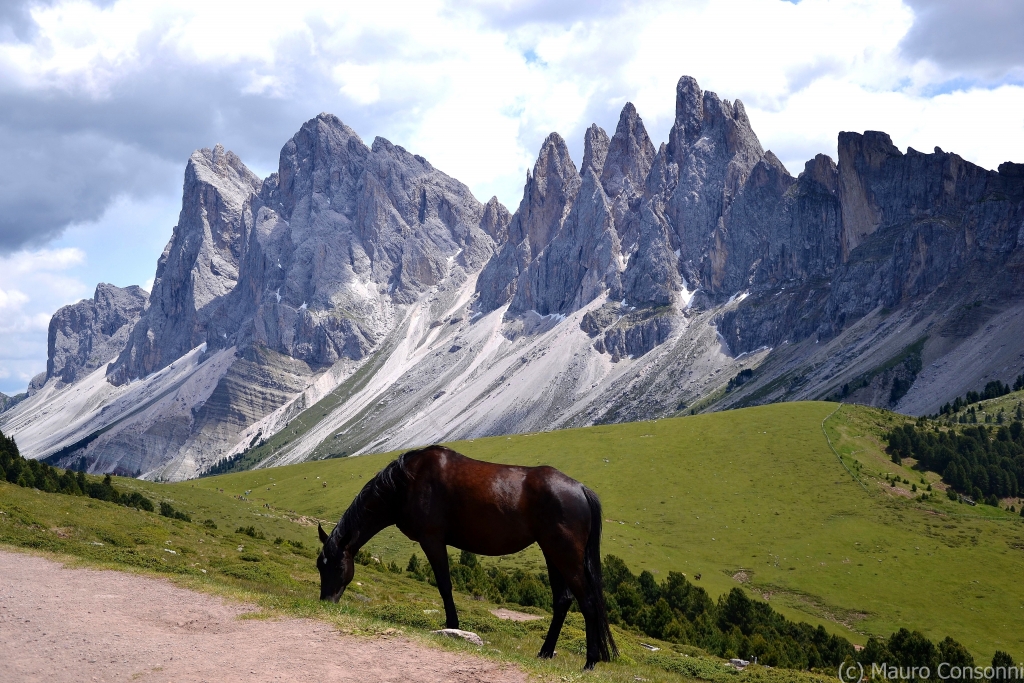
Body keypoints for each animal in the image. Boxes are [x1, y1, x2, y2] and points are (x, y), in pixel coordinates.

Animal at [313, 446, 614, 671]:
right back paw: (545, 652)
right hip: (552, 553)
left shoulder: (432, 540)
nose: (326, 602)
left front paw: (453, 626)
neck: (407, 482)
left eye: (335, 565)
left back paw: (590, 662)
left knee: (587, 602)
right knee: (562, 600)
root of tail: (581, 489)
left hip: (565, 555)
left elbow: (445, 585)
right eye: (320, 567)